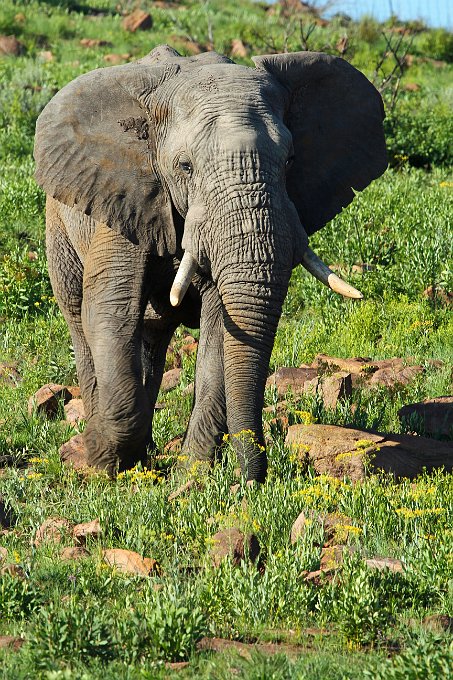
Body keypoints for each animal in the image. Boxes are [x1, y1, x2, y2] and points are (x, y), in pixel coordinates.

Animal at [33, 46, 384, 484]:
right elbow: (111, 312)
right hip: (60, 225)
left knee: (152, 337)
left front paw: (189, 481)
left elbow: (220, 325)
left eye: (290, 161)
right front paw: (105, 469)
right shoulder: (123, 198)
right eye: (185, 167)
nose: (254, 482)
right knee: (80, 318)